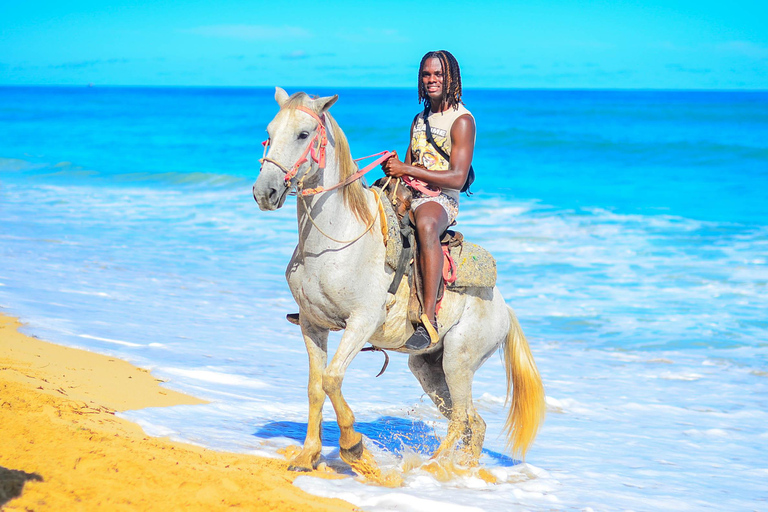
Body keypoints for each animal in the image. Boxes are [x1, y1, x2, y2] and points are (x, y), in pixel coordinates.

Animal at [252, 87, 544, 480]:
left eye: (302, 134)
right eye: (269, 131)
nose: (264, 192)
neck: (339, 238)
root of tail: (504, 307)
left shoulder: (361, 322)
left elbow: (331, 379)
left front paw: (354, 449)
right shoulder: (312, 324)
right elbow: (315, 386)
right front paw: (307, 455)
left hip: (458, 361)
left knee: (462, 419)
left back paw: (433, 467)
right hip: (428, 368)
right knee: (474, 422)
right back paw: (462, 470)